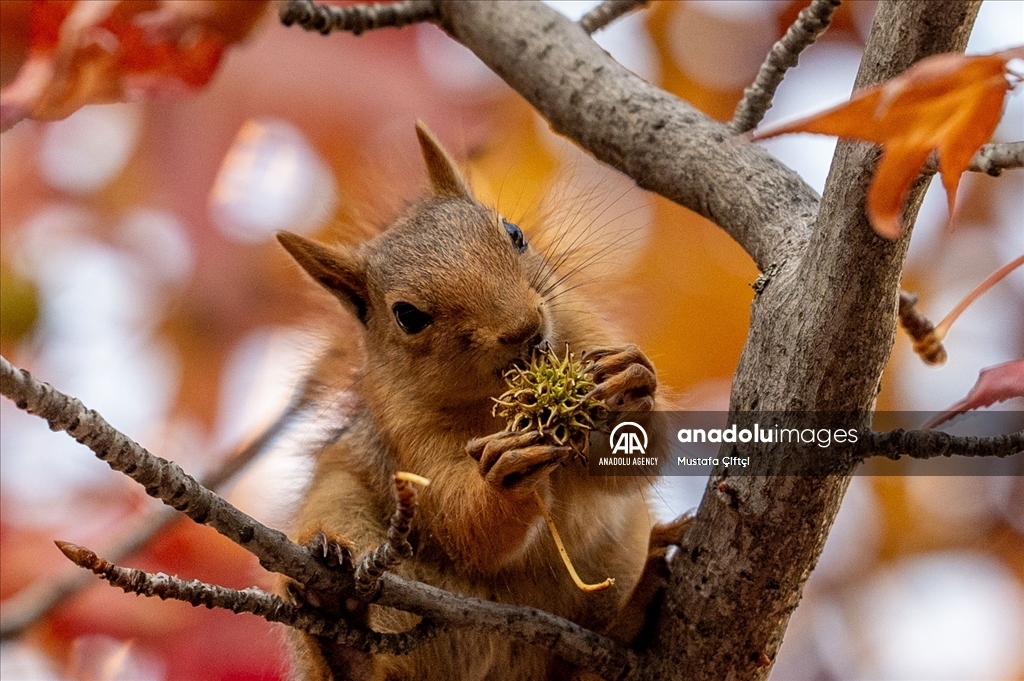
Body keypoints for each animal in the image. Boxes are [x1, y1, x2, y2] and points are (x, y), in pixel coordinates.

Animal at [276, 123, 688, 679]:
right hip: (340, 508)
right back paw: (338, 621)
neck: (494, 396)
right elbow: (462, 521)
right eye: (407, 316)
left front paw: (627, 385)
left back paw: (637, 605)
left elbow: (634, 465)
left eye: (513, 233)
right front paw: (505, 477)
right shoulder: (405, 428)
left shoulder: (579, 326)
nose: (524, 329)